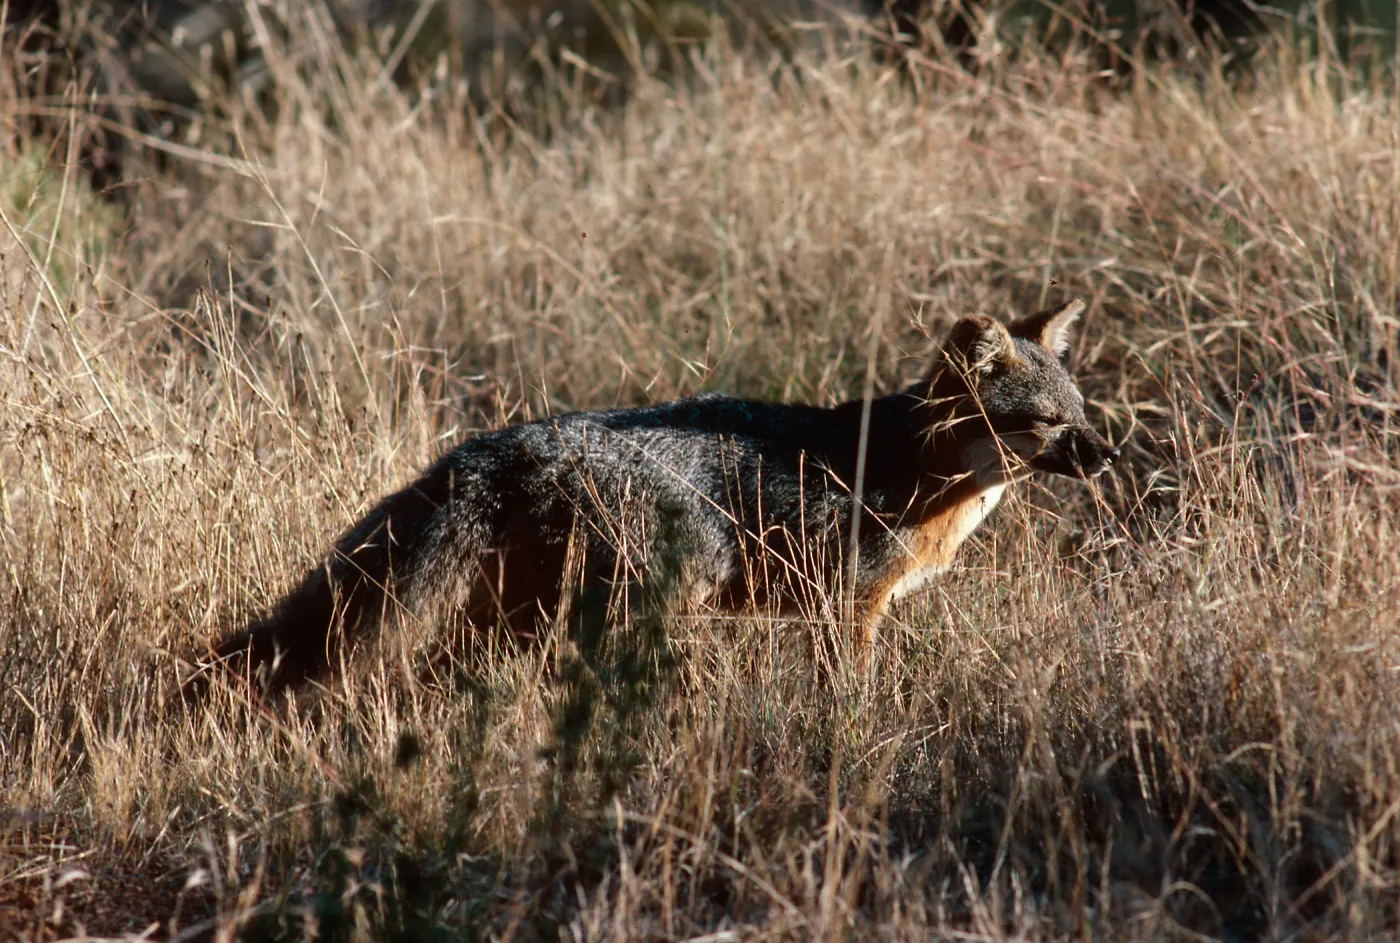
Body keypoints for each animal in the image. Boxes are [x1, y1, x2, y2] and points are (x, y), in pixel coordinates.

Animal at [190, 299, 1117, 698]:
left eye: (1081, 414)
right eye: (1047, 423)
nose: (1109, 454)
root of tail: (495, 443)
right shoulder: (847, 605)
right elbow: (847, 692)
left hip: (515, 611)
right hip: (660, 581)